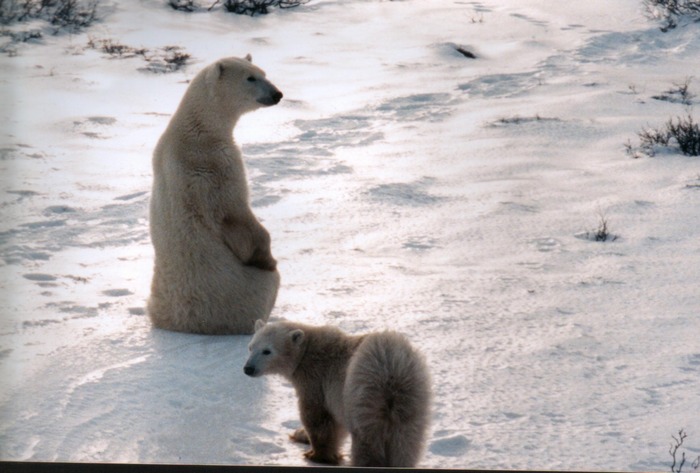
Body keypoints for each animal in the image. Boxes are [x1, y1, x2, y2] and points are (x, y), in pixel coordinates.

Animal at [148, 55, 282, 334]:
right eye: (250, 78)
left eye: (263, 72)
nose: (277, 94)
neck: (197, 127)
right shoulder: (215, 164)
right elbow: (235, 214)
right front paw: (268, 258)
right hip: (243, 294)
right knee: (270, 283)